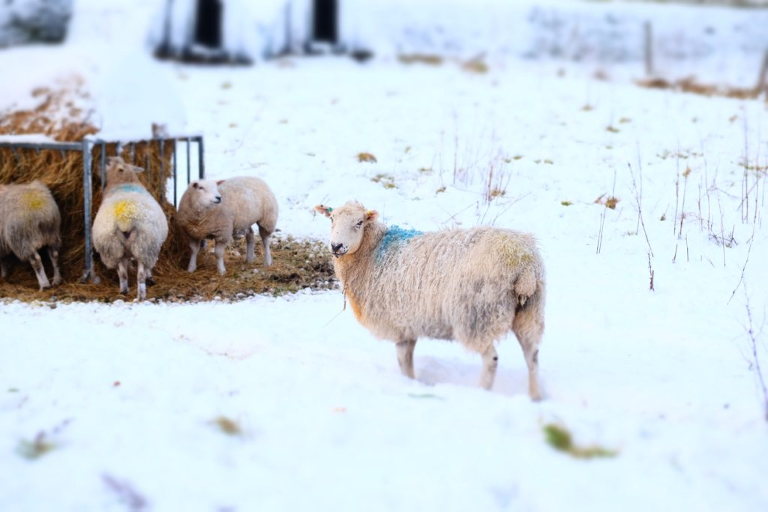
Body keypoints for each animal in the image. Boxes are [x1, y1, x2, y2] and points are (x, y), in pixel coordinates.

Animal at [91, 156, 168, 300]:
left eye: (110, 162)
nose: (104, 158)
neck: (123, 181)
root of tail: (124, 220)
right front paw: (151, 278)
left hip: (113, 248)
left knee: (122, 274)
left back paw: (124, 291)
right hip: (145, 245)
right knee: (141, 275)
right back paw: (141, 295)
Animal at [315, 201, 546, 400]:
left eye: (359, 222)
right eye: (332, 219)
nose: (336, 246)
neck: (372, 253)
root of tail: (523, 263)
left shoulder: (397, 324)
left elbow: (403, 362)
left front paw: (408, 384)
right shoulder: (408, 325)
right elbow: (407, 361)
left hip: (477, 315)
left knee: (492, 359)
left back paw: (482, 392)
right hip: (529, 313)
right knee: (532, 355)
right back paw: (535, 396)